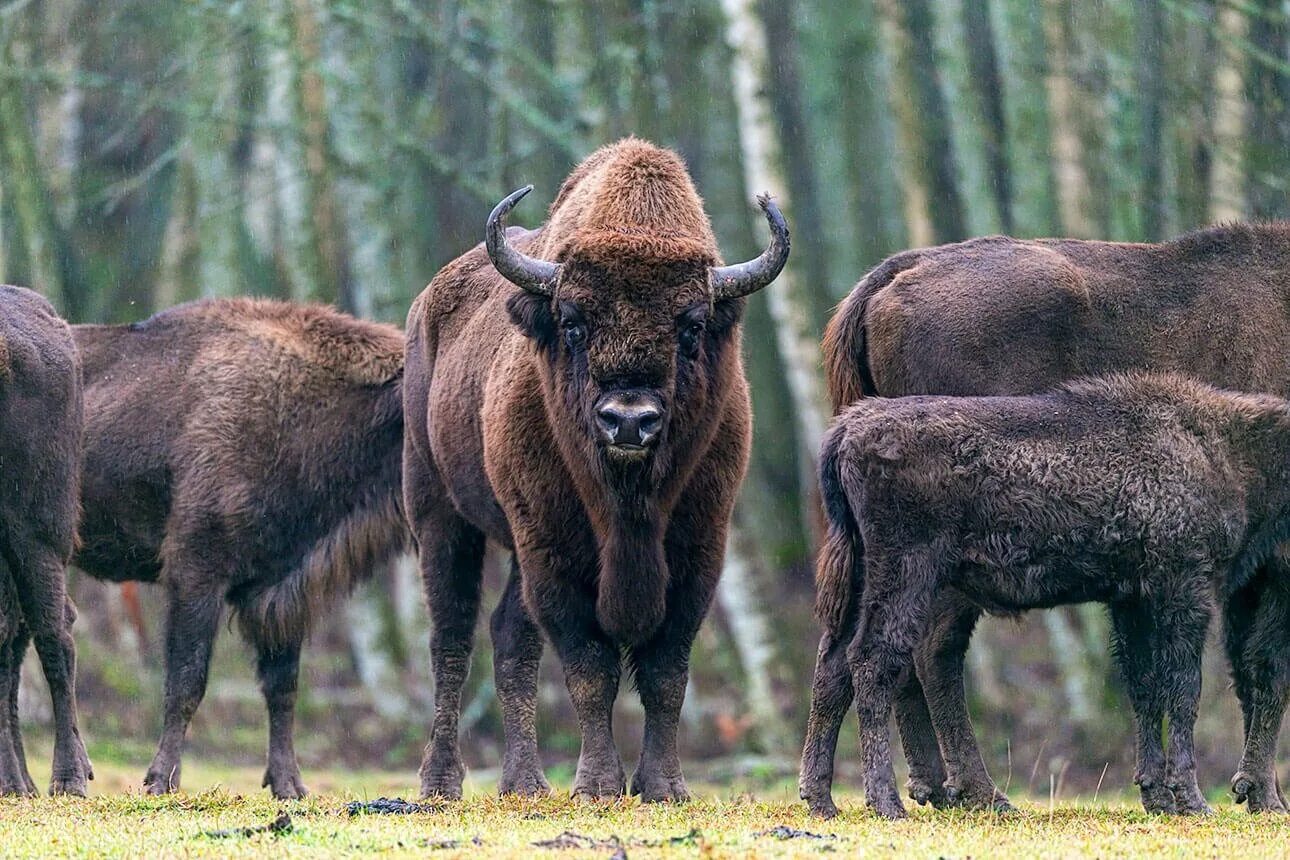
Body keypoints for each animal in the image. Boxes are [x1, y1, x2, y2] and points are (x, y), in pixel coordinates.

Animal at [73, 299, 405, 799]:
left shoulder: (279, 589)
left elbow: (282, 688)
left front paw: (290, 785)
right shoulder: (196, 574)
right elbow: (187, 682)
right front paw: (161, 780)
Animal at [405, 137, 784, 804]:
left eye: (691, 326)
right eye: (574, 322)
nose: (629, 422)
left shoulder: (699, 551)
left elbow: (665, 672)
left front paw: (664, 787)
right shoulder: (553, 551)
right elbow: (591, 668)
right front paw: (599, 786)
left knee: (510, 636)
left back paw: (524, 783)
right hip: (439, 514)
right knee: (451, 638)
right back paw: (440, 783)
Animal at [804, 220, 1290, 814]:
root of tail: (893, 275)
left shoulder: (1150, 588)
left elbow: (1167, 679)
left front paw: (1173, 793)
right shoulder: (1221, 579)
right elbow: (1235, 675)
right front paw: (1242, 797)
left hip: (862, 566)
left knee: (847, 658)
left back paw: (850, 796)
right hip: (922, 571)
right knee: (917, 654)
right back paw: (963, 795)